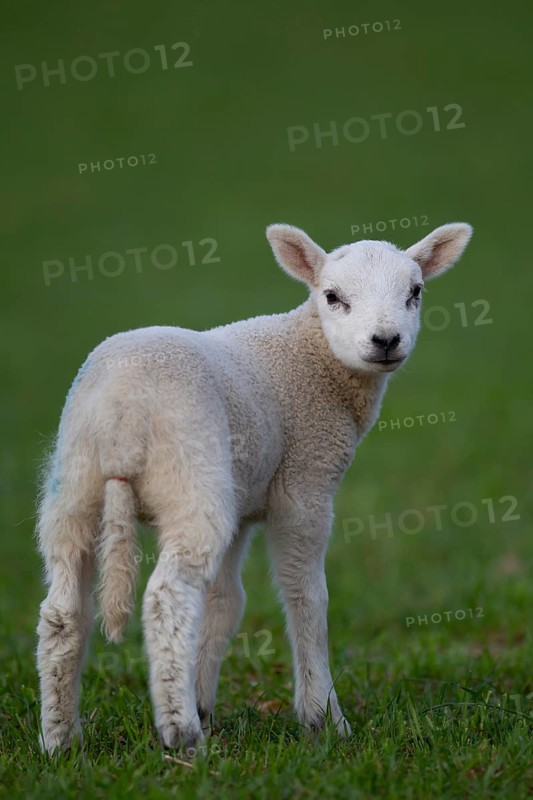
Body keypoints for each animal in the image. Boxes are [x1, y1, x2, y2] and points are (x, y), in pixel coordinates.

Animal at [36, 221, 472, 754]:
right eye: (332, 296)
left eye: (415, 292)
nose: (386, 340)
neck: (313, 358)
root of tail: (122, 417)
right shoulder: (305, 484)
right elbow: (307, 596)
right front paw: (323, 718)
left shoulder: (243, 503)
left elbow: (225, 603)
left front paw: (206, 699)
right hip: (191, 477)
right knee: (167, 597)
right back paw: (181, 731)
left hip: (75, 485)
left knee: (63, 610)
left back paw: (61, 739)